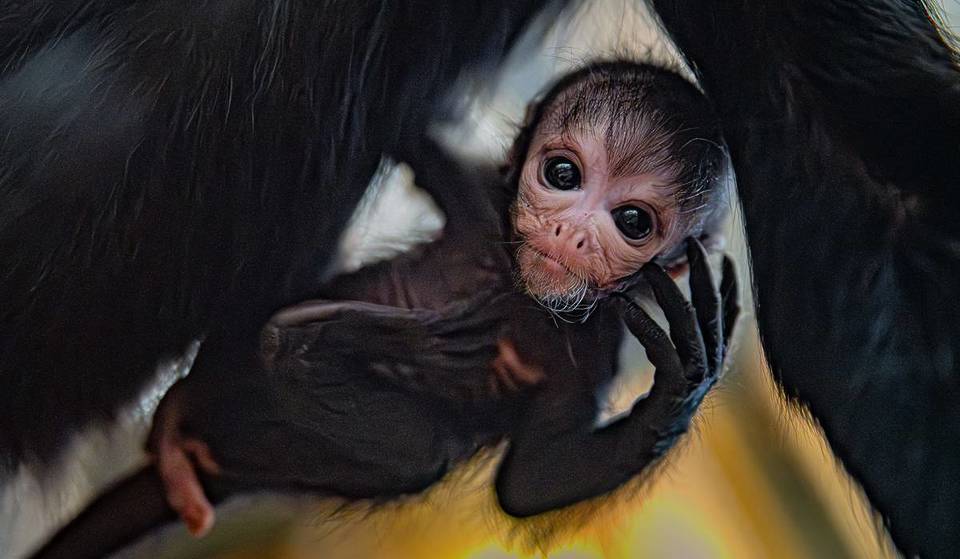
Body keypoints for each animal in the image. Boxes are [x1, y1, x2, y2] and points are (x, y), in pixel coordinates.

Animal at [29, 61, 739, 559]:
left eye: (631, 221)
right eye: (563, 174)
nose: (573, 235)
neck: (519, 290)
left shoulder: (598, 345)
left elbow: (529, 485)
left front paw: (683, 380)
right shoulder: (481, 200)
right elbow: (409, 137)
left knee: (423, 451)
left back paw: (316, 347)